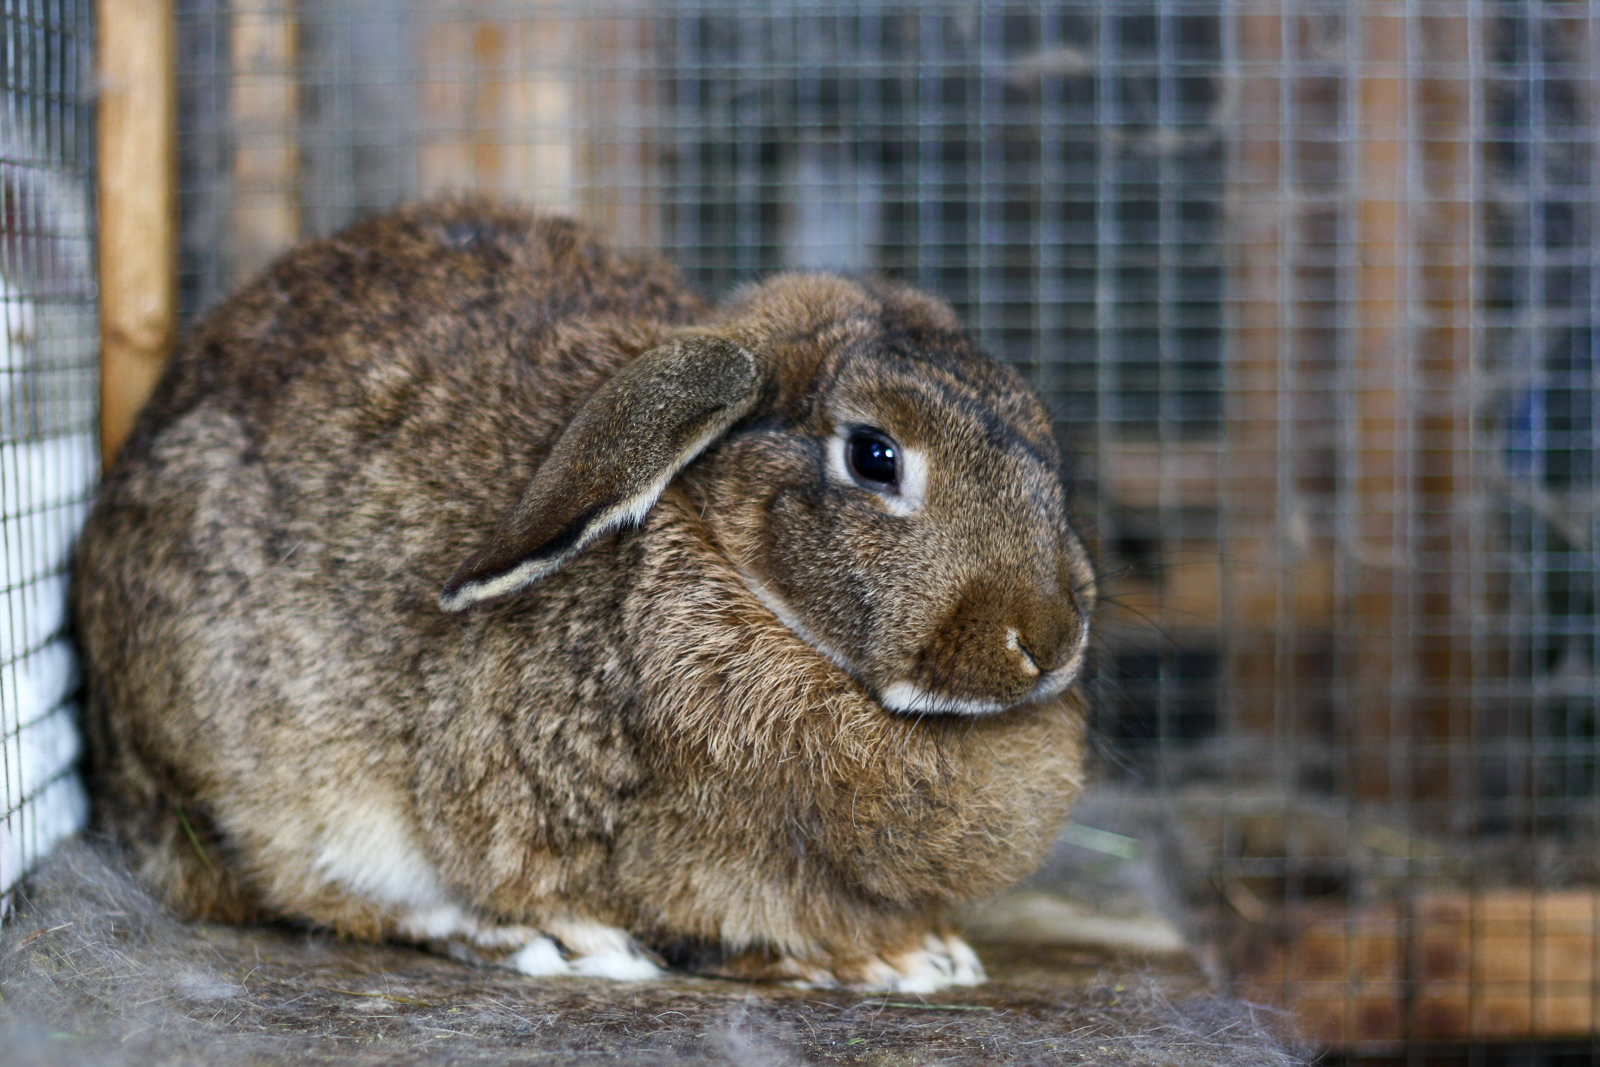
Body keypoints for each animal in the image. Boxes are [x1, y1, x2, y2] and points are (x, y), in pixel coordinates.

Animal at [72, 199, 1096, 993]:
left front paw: (940, 947)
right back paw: (537, 941)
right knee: (312, 892)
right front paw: (894, 962)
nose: (1048, 639)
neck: (734, 567)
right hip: (255, 764)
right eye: (874, 456)